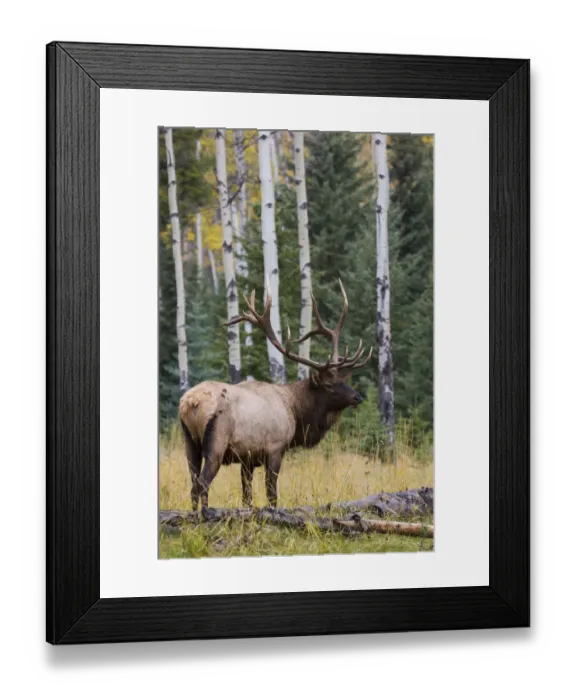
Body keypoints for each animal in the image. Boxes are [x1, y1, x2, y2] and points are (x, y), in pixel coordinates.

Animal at [178, 279, 372, 511]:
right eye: (329, 384)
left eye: (343, 380)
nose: (357, 397)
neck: (296, 412)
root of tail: (191, 402)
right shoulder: (275, 449)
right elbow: (272, 494)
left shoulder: (247, 459)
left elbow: (247, 496)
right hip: (216, 443)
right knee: (203, 483)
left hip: (189, 444)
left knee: (192, 486)